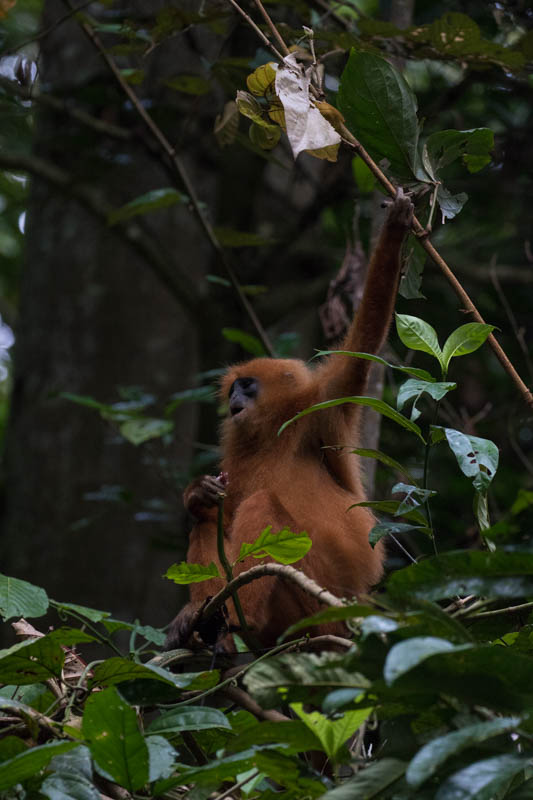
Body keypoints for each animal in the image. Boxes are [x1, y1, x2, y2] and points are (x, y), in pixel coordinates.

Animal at [167, 189, 416, 648]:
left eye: (247, 386)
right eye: (234, 388)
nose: (234, 396)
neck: (271, 435)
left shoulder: (323, 405)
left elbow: (361, 347)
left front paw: (394, 232)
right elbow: (214, 506)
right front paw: (196, 492)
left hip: (316, 601)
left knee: (263, 505)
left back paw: (239, 616)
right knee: (209, 519)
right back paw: (203, 621)